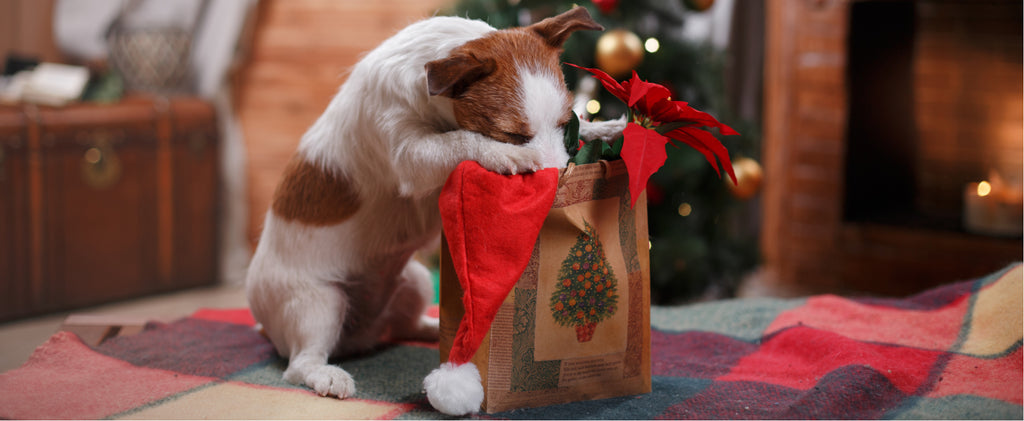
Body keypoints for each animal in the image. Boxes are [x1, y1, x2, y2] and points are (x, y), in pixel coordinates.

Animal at [243, 4, 618, 409]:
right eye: (512, 135)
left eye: (566, 124)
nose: (561, 177)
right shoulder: (411, 155)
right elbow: (460, 140)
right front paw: (510, 156)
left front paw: (606, 128)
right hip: (319, 303)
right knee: (300, 364)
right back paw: (329, 375)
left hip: (414, 282)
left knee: (401, 324)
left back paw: (431, 329)